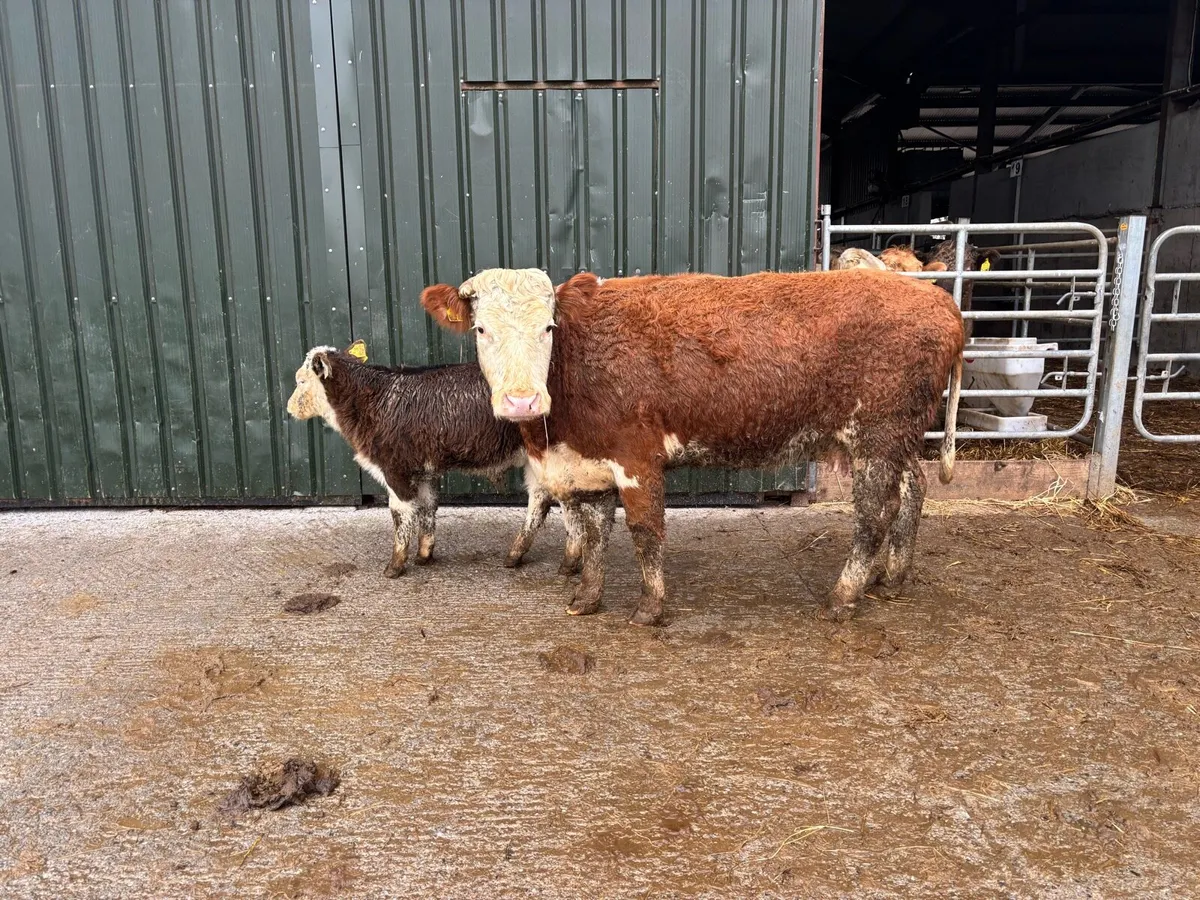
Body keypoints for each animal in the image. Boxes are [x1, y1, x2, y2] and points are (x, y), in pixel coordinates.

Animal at [286, 341, 582, 578]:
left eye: (300, 381)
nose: (288, 409)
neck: (372, 401)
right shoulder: (422, 471)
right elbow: (427, 508)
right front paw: (424, 554)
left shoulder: (395, 469)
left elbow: (400, 515)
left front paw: (395, 566)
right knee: (539, 501)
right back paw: (516, 555)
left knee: (569, 504)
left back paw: (569, 562)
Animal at [420, 268, 964, 626]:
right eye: (481, 328)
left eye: (548, 328)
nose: (522, 399)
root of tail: (938, 301)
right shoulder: (587, 465)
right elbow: (594, 534)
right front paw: (587, 599)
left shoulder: (636, 456)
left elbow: (645, 532)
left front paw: (650, 608)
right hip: (897, 439)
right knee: (913, 489)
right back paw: (890, 577)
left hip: (877, 434)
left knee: (875, 513)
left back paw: (844, 596)